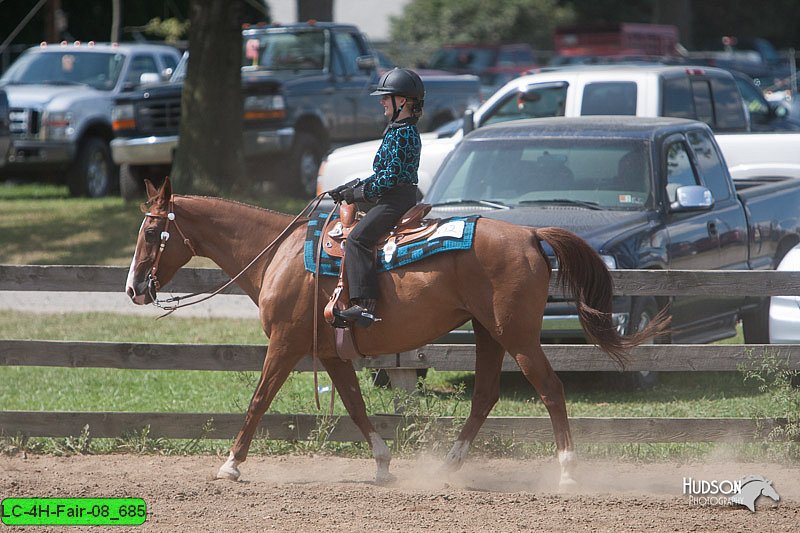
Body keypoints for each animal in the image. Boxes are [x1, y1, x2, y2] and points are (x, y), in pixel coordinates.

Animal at [125, 180, 664, 490]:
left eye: (151, 233)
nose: (133, 288)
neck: (278, 253)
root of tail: (530, 235)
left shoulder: (285, 343)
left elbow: (259, 400)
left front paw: (230, 465)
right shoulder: (331, 352)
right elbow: (355, 403)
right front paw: (383, 463)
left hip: (518, 335)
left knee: (550, 389)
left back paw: (568, 469)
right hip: (489, 333)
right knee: (485, 395)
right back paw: (448, 466)